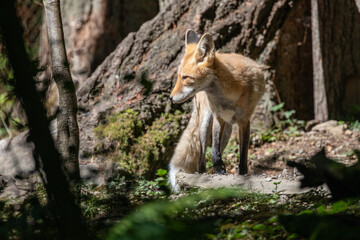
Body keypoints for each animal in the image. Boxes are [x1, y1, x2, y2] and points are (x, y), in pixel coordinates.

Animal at [168, 30, 264, 191]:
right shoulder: (218, 117)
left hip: (229, 131)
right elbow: (213, 149)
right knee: (201, 154)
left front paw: (242, 174)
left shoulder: (244, 121)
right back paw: (202, 175)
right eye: (178, 78)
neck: (229, 95)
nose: (170, 97)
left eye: (185, 77)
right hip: (206, 122)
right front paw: (219, 168)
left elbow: (243, 154)